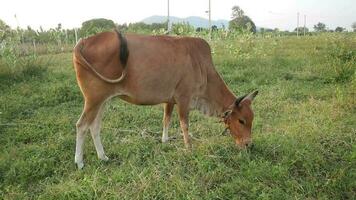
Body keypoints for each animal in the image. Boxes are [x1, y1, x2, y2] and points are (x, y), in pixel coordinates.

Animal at [72, 30, 258, 169]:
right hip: (94, 100)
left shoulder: (170, 100)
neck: (202, 66)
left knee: (94, 127)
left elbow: (166, 120)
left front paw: (165, 140)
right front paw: (189, 148)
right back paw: (79, 162)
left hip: (103, 100)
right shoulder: (184, 99)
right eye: (241, 120)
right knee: (82, 126)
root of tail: (84, 41)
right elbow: (184, 125)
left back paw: (103, 156)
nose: (248, 144)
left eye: (251, 120)